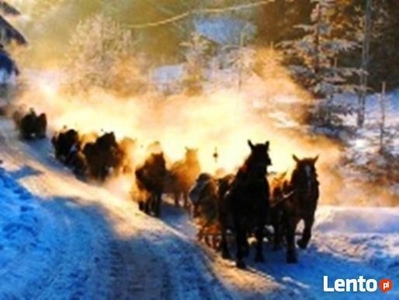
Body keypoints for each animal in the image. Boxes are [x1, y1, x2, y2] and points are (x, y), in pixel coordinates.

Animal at [219, 141, 272, 270]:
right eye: (253, 158)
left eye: (267, 159)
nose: (260, 177)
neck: (252, 193)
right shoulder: (238, 217)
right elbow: (239, 235)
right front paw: (240, 259)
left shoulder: (261, 217)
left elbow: (259, 234)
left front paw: (259, 255)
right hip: (223, 216)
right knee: (224, 230)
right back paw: (225, 251)